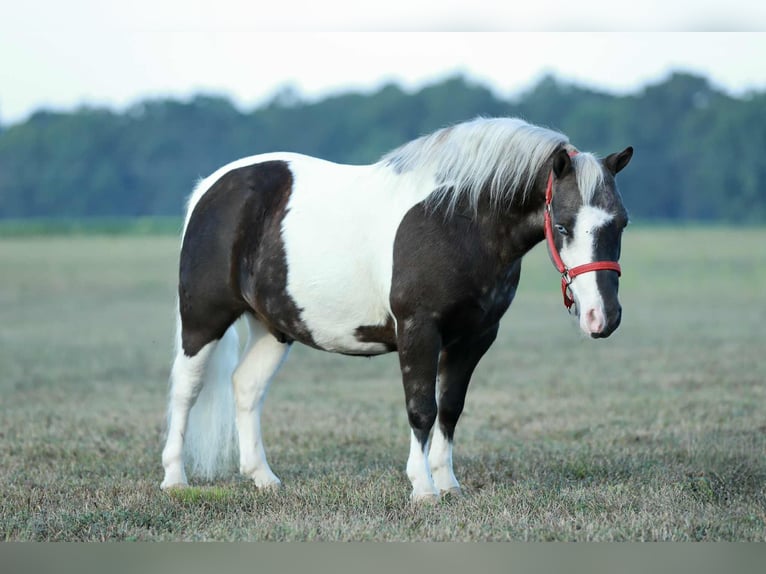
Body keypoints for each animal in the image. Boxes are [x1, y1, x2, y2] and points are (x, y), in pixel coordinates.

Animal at [160, 117, 633, 502]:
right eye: (562, 226)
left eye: (622, 222)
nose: (603, 317)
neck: (458, 220)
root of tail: (211, 188)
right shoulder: (418, 330)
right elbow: (422, 409)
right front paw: (422, 489)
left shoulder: (475, 337)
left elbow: (450, 408)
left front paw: (448, 484)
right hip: (203, 321)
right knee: (186, 388)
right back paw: (175, 479)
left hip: (274, 327)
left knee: (246, 388)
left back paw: (263, 478)